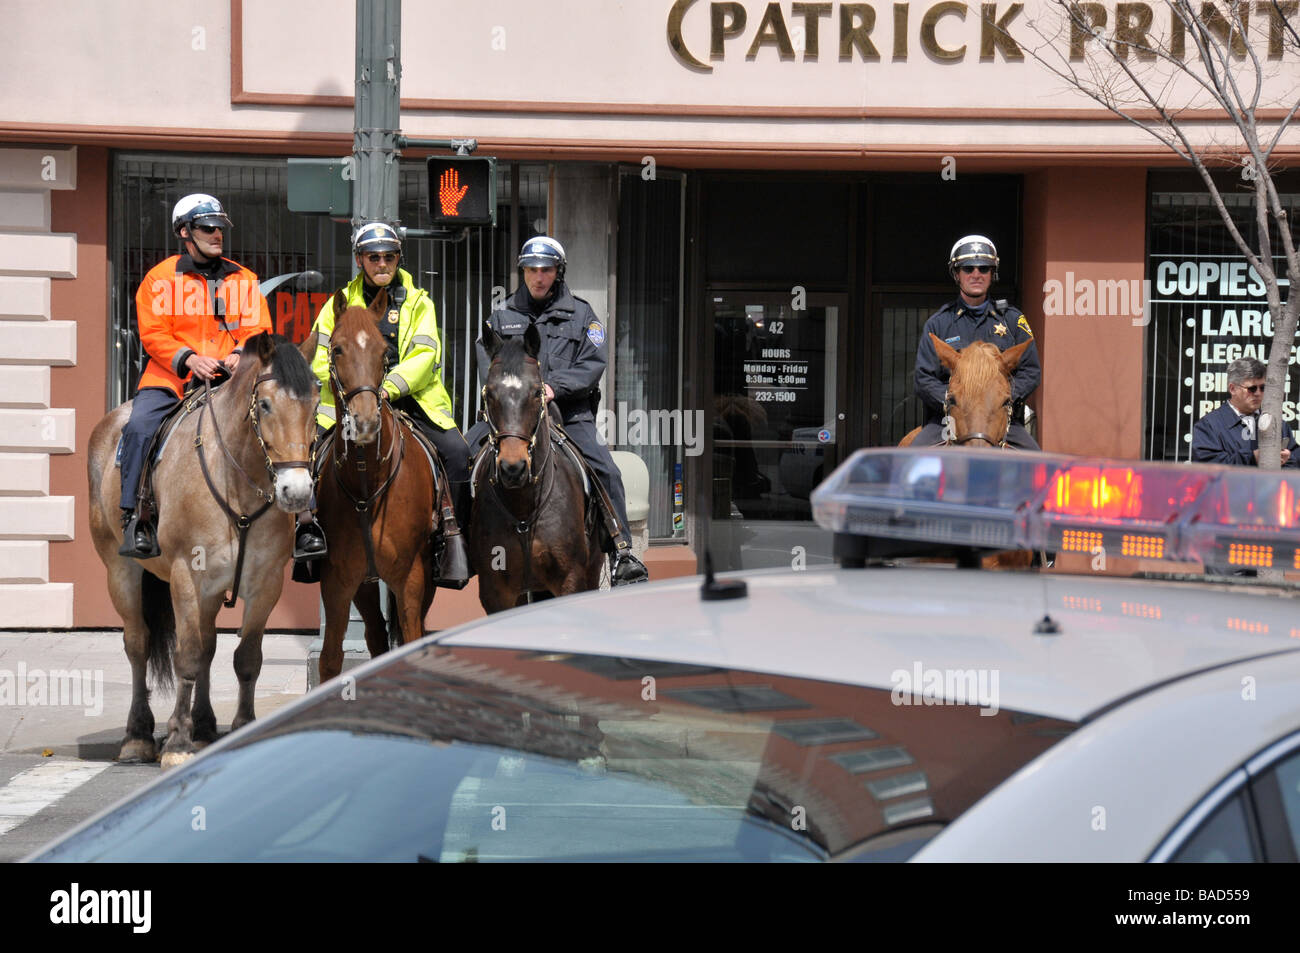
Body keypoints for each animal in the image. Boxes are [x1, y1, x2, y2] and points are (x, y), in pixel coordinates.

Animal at [87, 332, 319, 764]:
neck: (238, 478)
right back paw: (138, 735)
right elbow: (188, 656)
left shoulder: (265, 583)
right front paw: (178, 741)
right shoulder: (186, 577)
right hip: (119, 569)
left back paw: (206, 727)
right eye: (265, 404)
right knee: (138, 643)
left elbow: (246, 657)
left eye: (315, 403)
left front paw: (241, 728)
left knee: (210, 645)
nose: (296, 491)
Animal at [312, 286, 444, 681]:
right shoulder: (338, 581)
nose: (366, 422)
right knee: (375, 637)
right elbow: (330, 660)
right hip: (365, 586)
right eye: (337, 348)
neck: (367, 482)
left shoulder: (411, 578)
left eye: (384, 352)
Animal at [470, 319, 605, 613]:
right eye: (489, 394)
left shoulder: (571, 581)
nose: (513, 468)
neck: (524, 506)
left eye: (535, 392)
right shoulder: (496, 592)